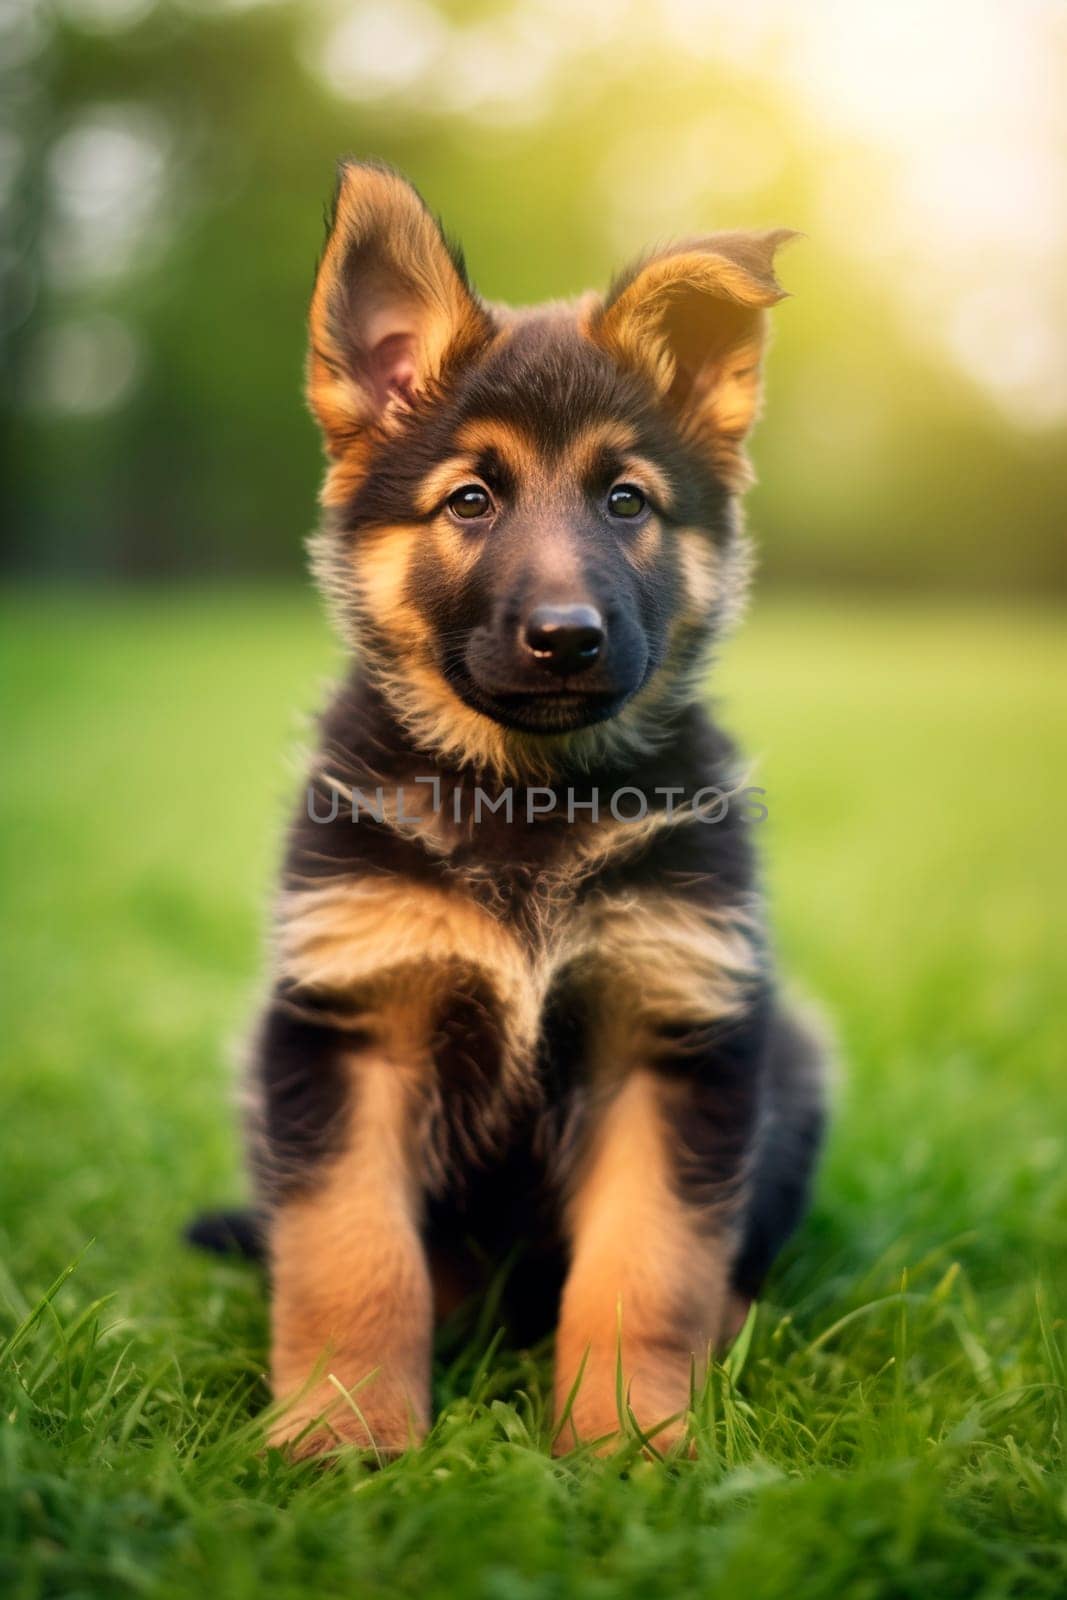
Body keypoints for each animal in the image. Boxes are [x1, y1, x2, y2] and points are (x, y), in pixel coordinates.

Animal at [191, 165, 825, 1465]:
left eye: (625, 499)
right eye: (470, 500)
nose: (564, 636)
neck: (525, 791)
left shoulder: (670, 1035)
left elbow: (644, 1268)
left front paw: (628, 1440)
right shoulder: (348, 1028)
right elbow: (350, 1256)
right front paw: (343, 1432)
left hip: (788, 1052)